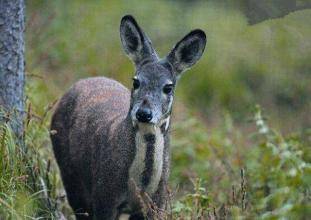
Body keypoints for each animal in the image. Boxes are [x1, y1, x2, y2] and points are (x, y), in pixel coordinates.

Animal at [50, 14, 207, 219]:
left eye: (168, 87)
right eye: (136, 81)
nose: (143, 113)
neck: (139, 186)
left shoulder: (157, 203)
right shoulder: (104, 195)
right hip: (69, 173)